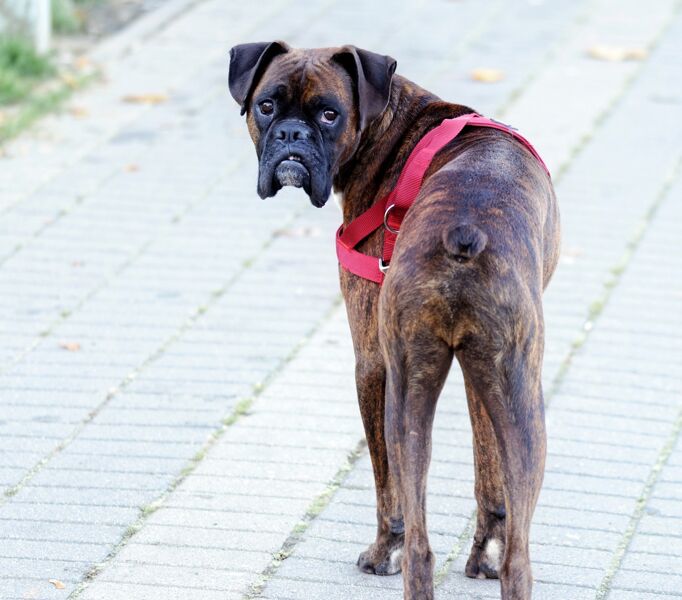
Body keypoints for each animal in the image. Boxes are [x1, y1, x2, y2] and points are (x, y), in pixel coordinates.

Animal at [228, 42, 556, 600]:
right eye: (267, 107)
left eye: (329, 114)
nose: (291, 135)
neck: (395, 130)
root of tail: (464, 227)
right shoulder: (481, 379)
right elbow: (487, 468)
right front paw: (485, 553)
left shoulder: (371, 364)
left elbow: (388, 488)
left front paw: (385, 553)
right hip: (505, 402)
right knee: (494, 555)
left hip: (416, 392)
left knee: (411, 518)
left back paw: (391, 554)